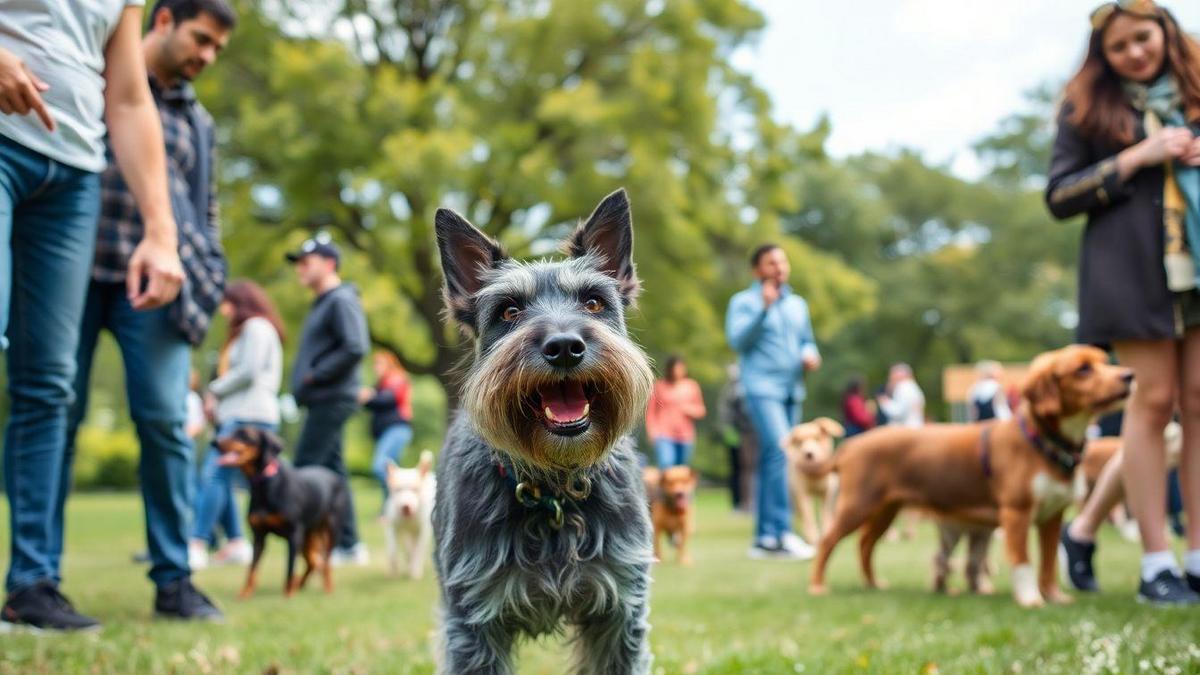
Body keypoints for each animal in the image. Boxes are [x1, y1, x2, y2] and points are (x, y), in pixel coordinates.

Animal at [217, 427, 350, 595]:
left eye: (245, 435)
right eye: (232, 432)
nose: (215, 442)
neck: (266, 483)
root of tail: (333, 475)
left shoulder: (294, 535)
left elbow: (290, 568)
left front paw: (287, 596)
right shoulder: (258, 536)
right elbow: (252, 569)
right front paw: (244, 595)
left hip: (329, 531)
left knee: (325, 563)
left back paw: (327, 589)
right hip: (308, 536)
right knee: (313, 562)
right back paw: (299, 585)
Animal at [434, 186, 657, 667]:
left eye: (593, 303)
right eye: (509, 311)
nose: (565, 347)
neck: (554, 491)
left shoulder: (621, 613)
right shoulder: (472, 625)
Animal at [777, 413, 844, 542]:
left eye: (817, 438)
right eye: (800, 442)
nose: (808, 454)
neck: (815, 475)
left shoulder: (827, 494)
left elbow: (825, 517)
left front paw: (825, 534)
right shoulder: (803, 494)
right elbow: (809, 517)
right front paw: (813, 538)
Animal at [806, 343, 1132, 607]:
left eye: (1105, 361)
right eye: (1083, 369)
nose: (1129, 375)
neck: (1042, 442)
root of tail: (850, 445)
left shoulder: (1052, 516)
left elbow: (1049, 563)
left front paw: (1053, 596)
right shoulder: (1016, 512)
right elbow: (1023, 562)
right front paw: (1030, 599)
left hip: (886, 509)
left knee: (865, 544)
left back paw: (872, 583)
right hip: (859, 505)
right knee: (827, 542)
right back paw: (818, 585)